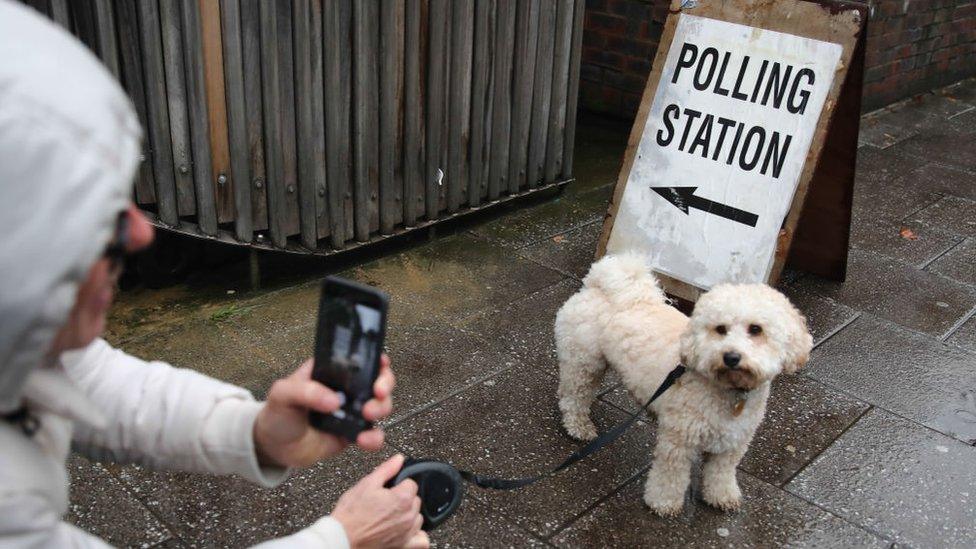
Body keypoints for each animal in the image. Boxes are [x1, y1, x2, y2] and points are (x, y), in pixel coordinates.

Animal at [552, 255, 812, 516]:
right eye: (720, 329)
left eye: (756, 329)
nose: (731, 357)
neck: (728, 390)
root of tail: (597, 285)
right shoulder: (678, 443)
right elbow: (670, 477)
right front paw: (664, 503)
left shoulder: (732, 445)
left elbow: (721, 474)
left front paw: (722, 496)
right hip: (583, 362)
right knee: (573, 395)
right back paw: (579, 426)